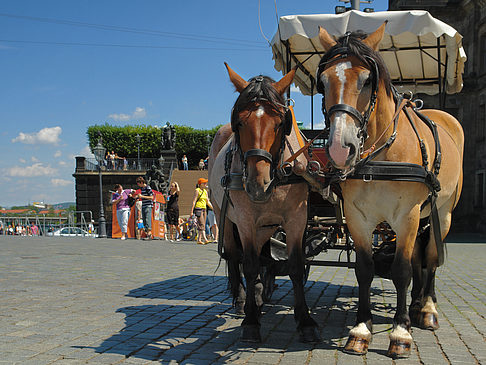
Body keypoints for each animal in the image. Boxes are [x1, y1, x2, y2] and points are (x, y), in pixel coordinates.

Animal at [207, 63, 320, 344]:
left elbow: (295, 266)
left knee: (259, 253)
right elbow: (248, 265)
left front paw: (305, 321)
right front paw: (250, 322)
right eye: (239, 122)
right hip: (223, 214)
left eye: (280, 123)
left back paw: (258, 294)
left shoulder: (296, 220)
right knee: (235, 256)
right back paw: (243, 300)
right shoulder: (245, 221)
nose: (258, 184)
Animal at [318, 24, 466, 356]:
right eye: (323, 82)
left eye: (367, 80)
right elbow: (365, 269)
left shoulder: (407, 216)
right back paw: (415, 305)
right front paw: (361, 330)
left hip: (442, 214)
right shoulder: (358, 218)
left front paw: (400, 333)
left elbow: (401, 270)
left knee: (430, 258)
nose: (339, 149)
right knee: (419, 258)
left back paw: (427, 310)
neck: (381, 155)